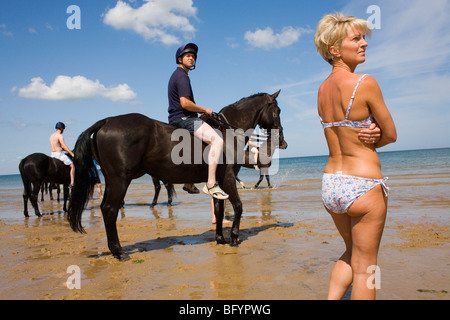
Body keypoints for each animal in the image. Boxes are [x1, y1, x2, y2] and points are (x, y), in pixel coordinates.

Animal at [69, 90, 288, 260]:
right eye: (277, 111)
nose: (282, 140)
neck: (228, 133)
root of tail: (106, 121)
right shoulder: (227, 178)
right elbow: (238, 207)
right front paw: (234, 237)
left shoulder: (218, 183)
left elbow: (219, 210)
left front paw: (220, 239)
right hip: (120, 180)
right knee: (109, 210)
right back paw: (119, 251)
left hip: (112, 180)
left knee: (106, 209)